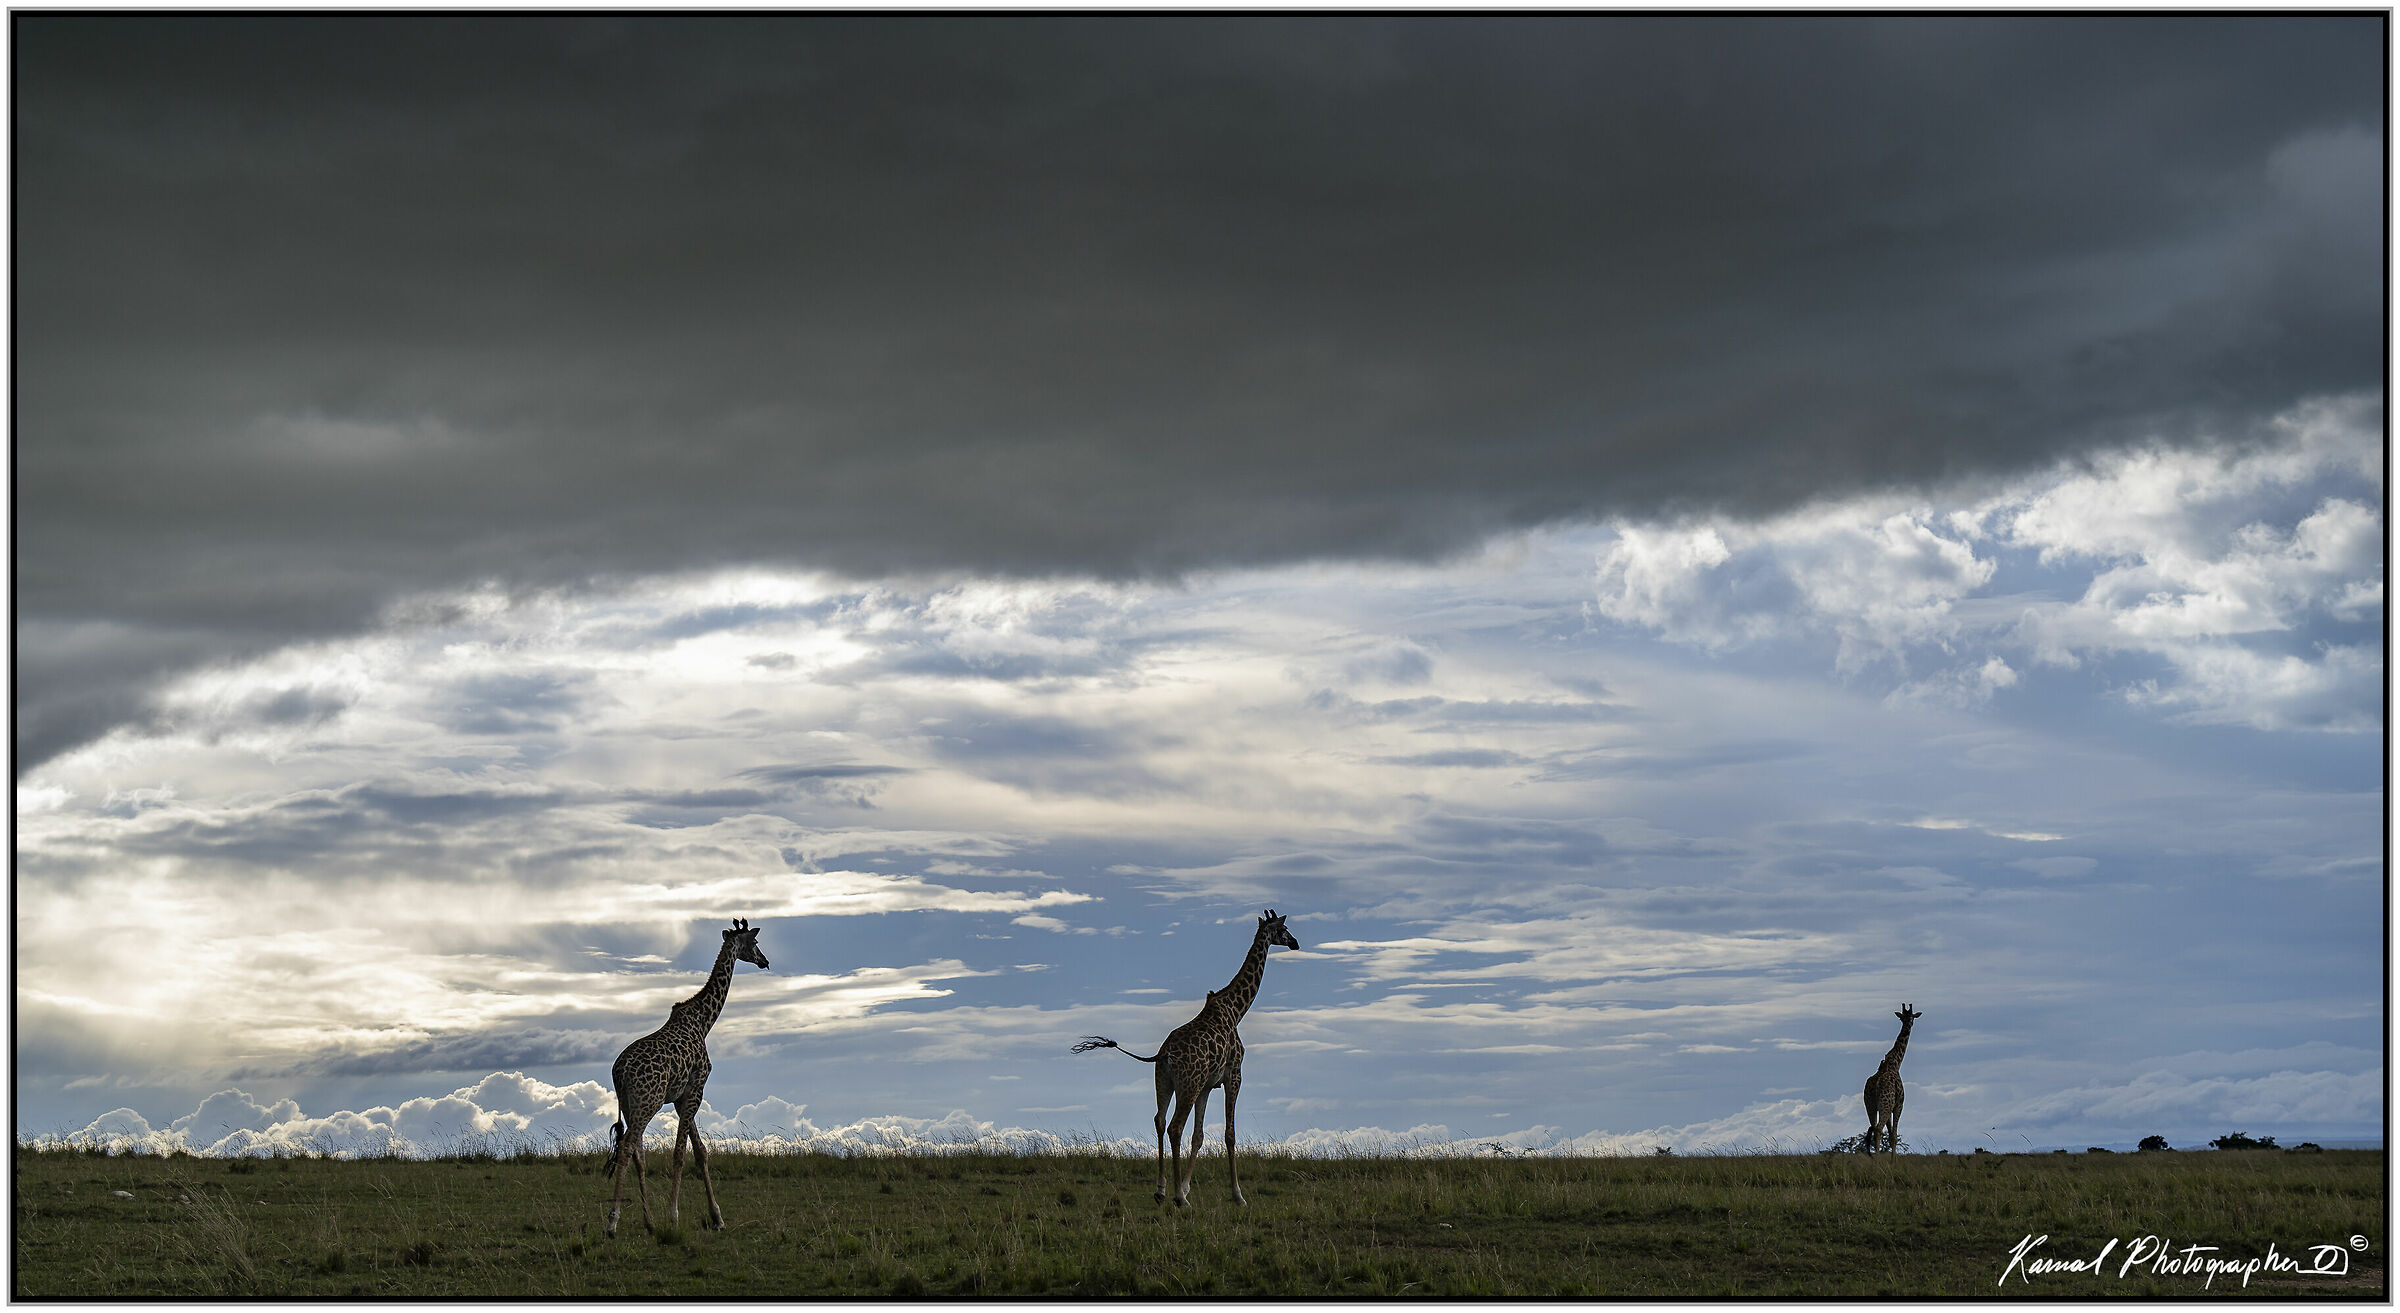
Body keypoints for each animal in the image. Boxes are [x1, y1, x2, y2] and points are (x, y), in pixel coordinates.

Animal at [603, 918, 769, 1238]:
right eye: (754, 943)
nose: (765, 961)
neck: (704, 1022)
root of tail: (620, 1072)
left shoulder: (683, 1097)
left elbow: (700, 1152)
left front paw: (717, 1218)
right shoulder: (696, 1089)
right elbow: (680, 1153)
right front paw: (674, 1216)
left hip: (629, 1105)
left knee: (637, 1153)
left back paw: (648, 1222)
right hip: (648, 1101)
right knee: (628, 1147)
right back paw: (613, 1223)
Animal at [1072, 909, 1301, 1207]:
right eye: (1283, 928)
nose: (1296, 943)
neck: (1236, 1010)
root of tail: (1164, 1053)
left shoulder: (1207, 1085)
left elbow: (1199, 1136)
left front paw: (1187, 1185)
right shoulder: (1234, 1075)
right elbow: (1229, 1134)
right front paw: (1237, 1195)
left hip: (1165, 1081)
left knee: (1159, 1120)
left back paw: (1161, 1190)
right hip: (1187, 1084)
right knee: (1174, 1127)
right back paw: (1179, 1199)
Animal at [1861, 1003, 1921, 1154]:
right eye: (1911, 1017)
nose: (1910, 1023)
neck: (1895, 1063)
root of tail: (1876, 1085)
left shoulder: (1888, 1106)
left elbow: (1889, 1135)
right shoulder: (1898, 1105)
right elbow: (1893, 1136)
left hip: (1870, 1105)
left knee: (1872, 1128)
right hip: (1885, 1104)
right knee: (1878, 1128)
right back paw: (1876, 1160)